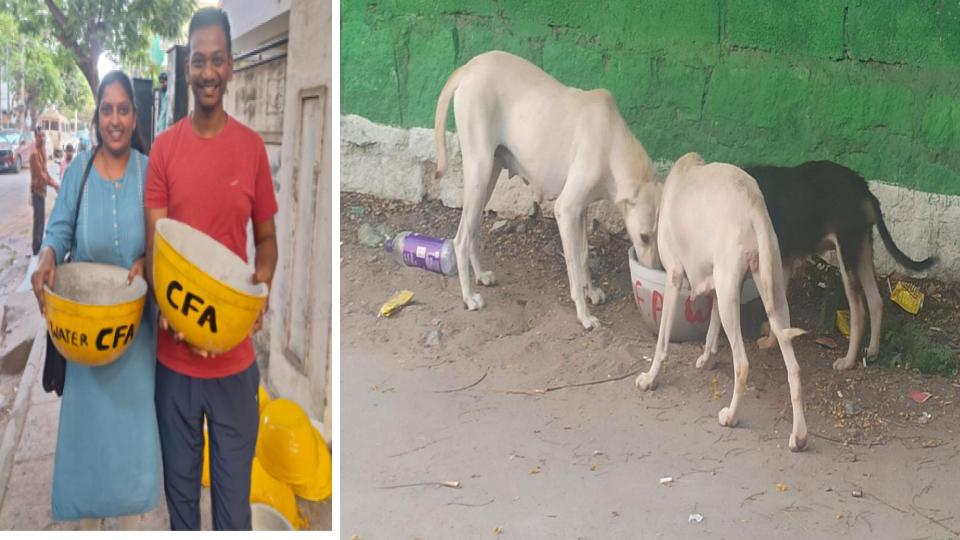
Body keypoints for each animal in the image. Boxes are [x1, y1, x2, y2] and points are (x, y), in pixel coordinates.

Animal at [636, 152, 808, 452]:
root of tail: (753, 205)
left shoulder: (675, 277)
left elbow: (662, 342)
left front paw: (651, 378)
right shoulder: (717, 286)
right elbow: (711, 331)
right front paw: (707, 358)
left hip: (731, 291)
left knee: (743, 364)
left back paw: (731, 416)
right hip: (770, 292)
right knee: (794, 369)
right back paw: (799, 436)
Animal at [744, 160, 936, 372]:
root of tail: (864, 189)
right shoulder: (782, 261)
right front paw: (773, 338)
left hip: (846, 251)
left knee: (859, 309)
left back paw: (848, 361)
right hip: (861, 250)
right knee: (875, 300)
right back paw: (872, 351)